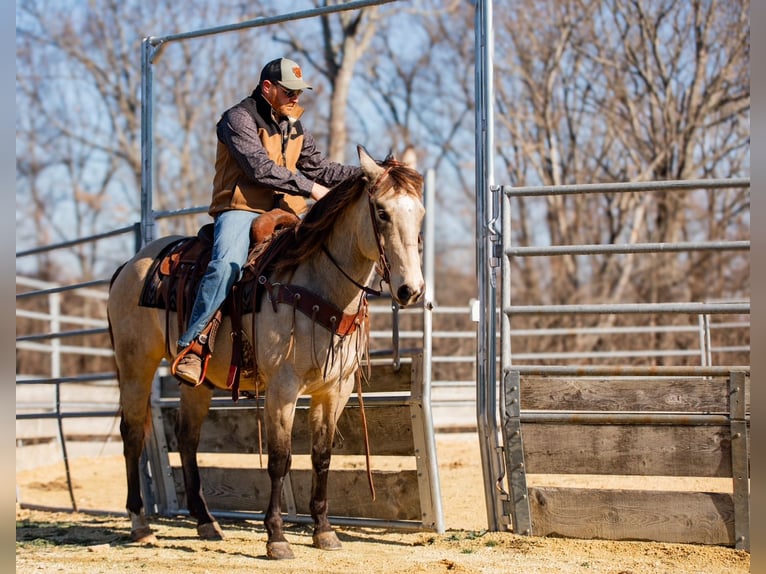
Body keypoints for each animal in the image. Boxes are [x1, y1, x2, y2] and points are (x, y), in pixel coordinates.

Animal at [107, 146, 425, 559]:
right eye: (382, 212)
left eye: (420, 213)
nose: (410, 290)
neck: (318, 286)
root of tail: (130, 265)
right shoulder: (282, 389)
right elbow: (279, 460)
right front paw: (276, 537)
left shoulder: (334, 390)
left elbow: (322, 457)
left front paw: (324, 531)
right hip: (135, 365)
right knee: (132, 434)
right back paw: (140, 523)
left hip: (196, 383)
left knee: (187, 438)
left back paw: (205, 522)